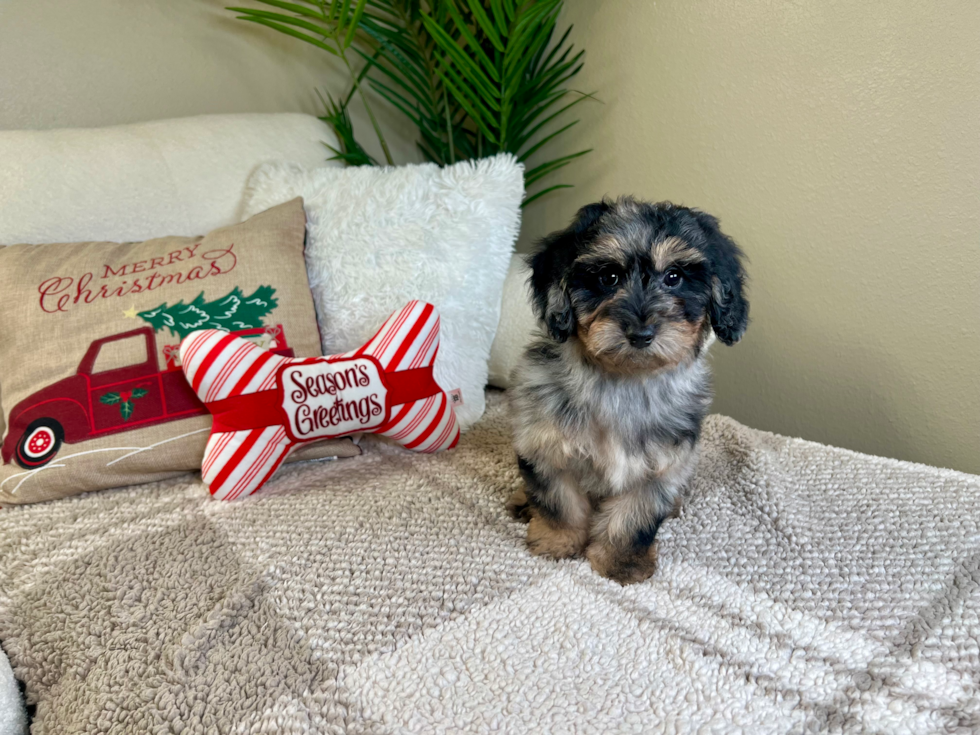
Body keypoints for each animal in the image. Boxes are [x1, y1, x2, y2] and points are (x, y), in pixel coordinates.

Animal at [510, 197, 748, 588]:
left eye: (674, 277)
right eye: (608, 278)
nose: (641, 333)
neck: (624, 381)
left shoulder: (659, 466)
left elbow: (634, 519)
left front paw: (621, 562)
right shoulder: (546, 447)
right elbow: (559, 503)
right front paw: (557, 542)